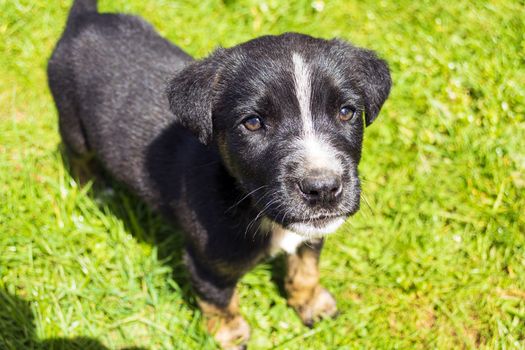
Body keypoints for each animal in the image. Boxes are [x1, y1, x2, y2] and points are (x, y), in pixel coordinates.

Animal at [49, 0, 390, 348]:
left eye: (346, 112)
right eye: (252, 123)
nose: (322, 188)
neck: (248, 201)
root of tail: (85, 19)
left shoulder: (312, 233)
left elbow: (306, 268)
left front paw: (312, 304)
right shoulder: (207, 263)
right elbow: (220, 301)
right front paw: (230, 335)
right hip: (72, 123)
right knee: (78, 156)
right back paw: (97, 190)